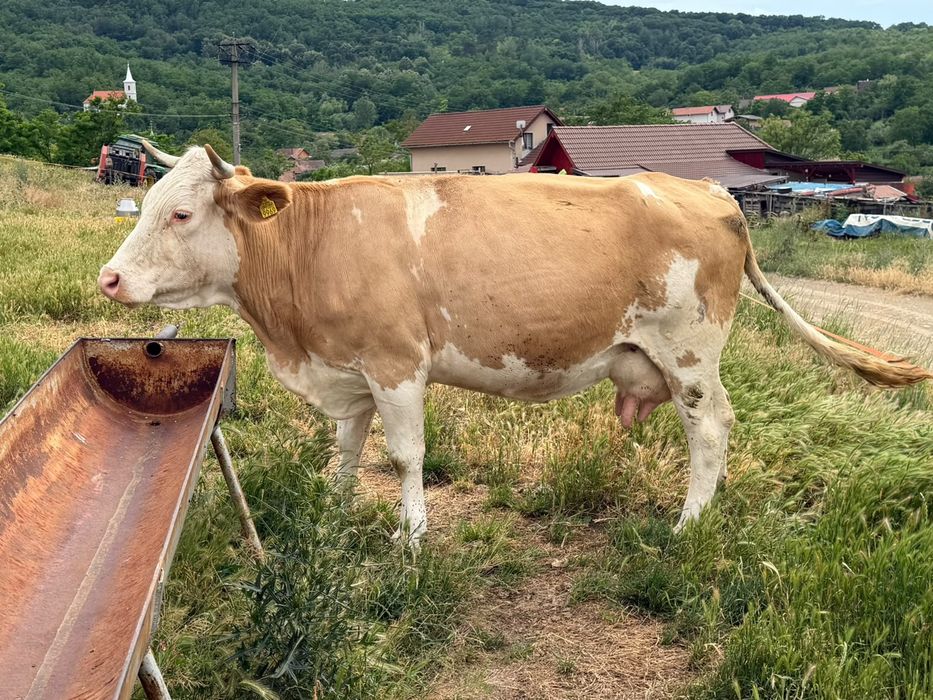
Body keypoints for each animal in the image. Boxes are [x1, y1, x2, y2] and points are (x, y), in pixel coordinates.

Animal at [98, 144, 931, 545]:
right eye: (153, 199)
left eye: (181, 214)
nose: (109, 279)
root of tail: (708, 191)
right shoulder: (349, 371)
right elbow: (345, 450)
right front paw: (331, 516)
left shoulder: (397, 365)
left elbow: (403, 457)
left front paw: (411, 537)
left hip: (690, 352)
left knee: (711, 430)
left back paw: (687, 525)